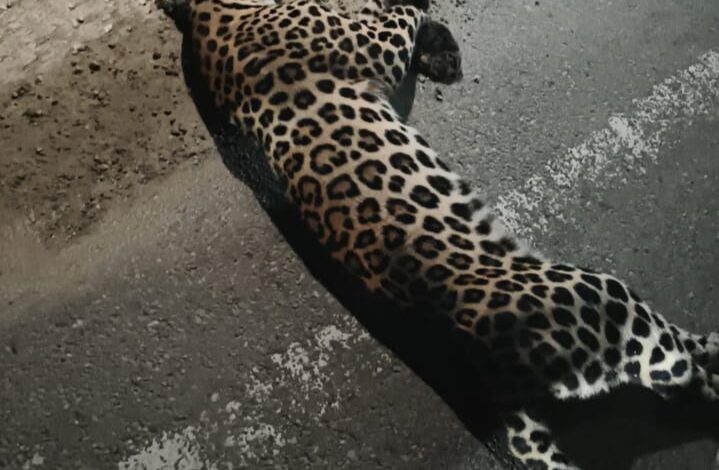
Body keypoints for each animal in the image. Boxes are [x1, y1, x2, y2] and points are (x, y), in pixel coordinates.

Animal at [157, 0, 719, 468]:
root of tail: (497, 377)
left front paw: (441, 52)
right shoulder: (371, 44)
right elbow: (399, 8)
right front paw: (434, 35)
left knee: (677, 367)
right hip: (605, 297)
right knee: (682, 372)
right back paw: (714, 359)